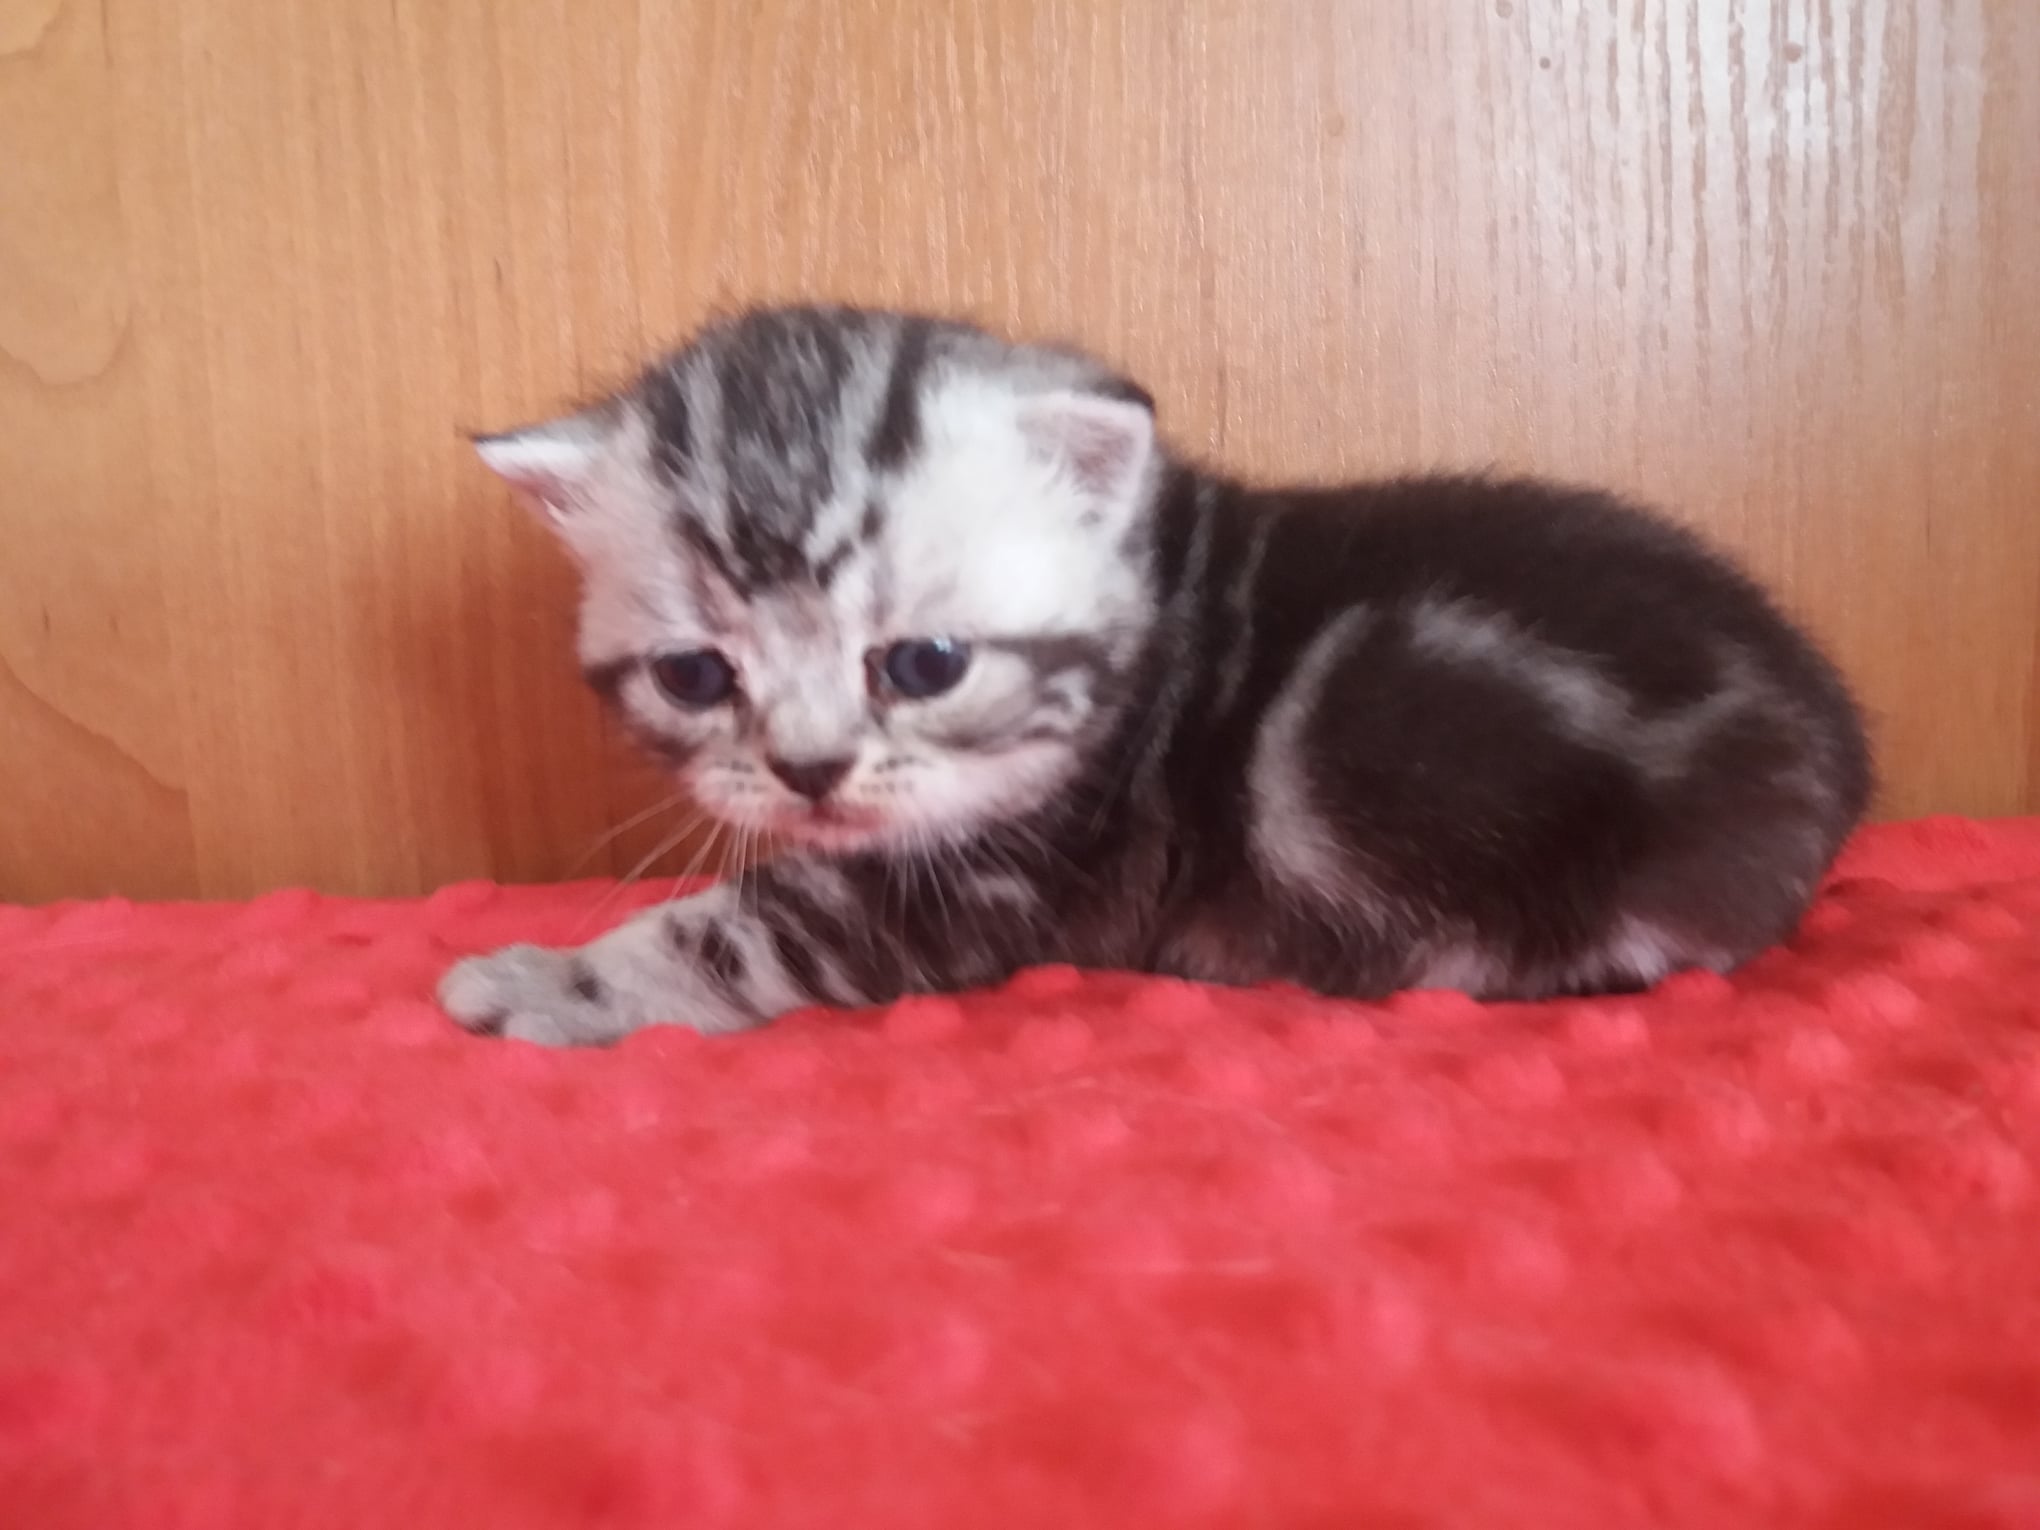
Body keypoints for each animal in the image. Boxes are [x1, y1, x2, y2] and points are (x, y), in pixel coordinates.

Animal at [439, 305, 1871, 1046]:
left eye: (924, 664)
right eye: (695, 676)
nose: (807, 770)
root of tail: (1831, 741)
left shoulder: (993, 882)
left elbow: (733, 934)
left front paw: (543, 984)